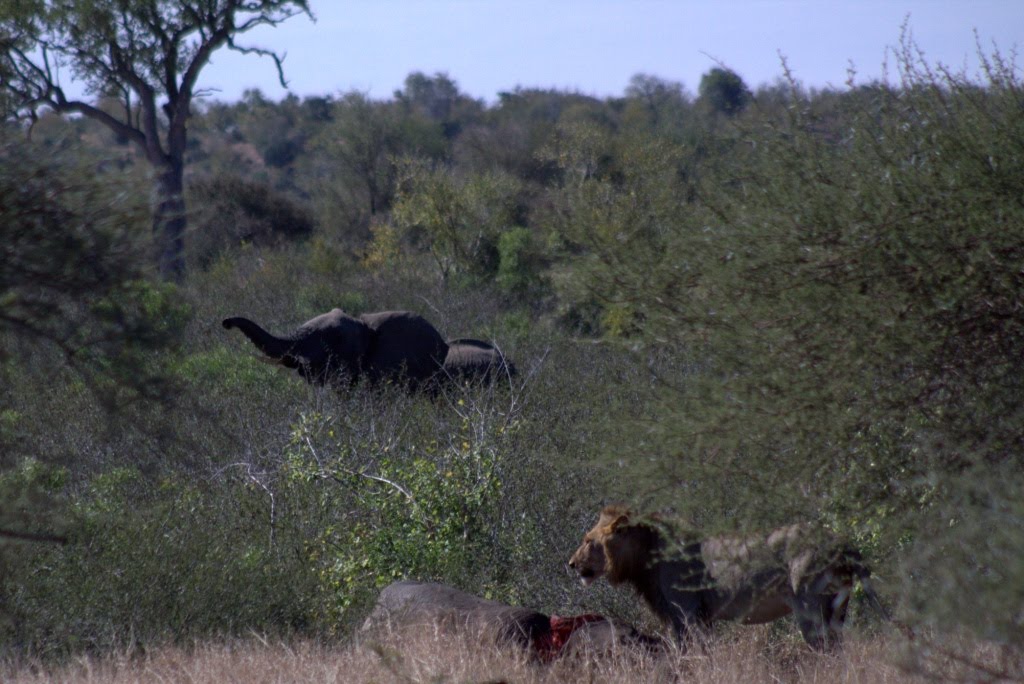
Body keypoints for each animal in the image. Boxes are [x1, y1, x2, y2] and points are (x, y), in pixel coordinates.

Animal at [569, 506, 888, 650]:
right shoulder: (701, 617)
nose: (571, 564)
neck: (647, 552)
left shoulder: (687, 615)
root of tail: (843, 542)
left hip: (810, 608)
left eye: (588, 541)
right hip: (837, 609)